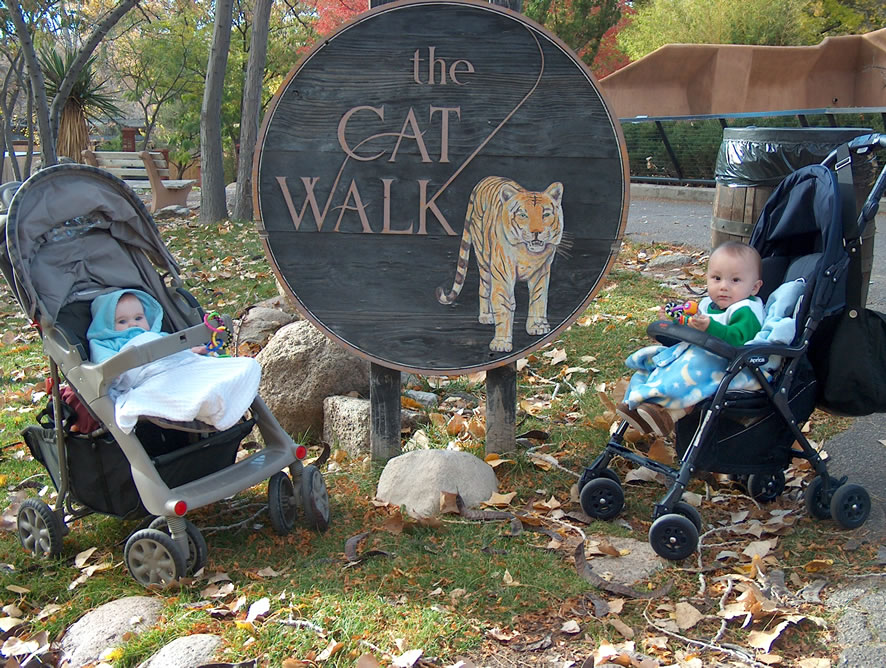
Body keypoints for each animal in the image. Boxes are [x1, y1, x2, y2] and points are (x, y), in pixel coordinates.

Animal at [438, 177, 568, 354]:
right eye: (523, 215)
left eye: (546, 214)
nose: (536, 232)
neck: (529, 253)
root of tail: (485, 180)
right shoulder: (503, 274)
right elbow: (503, 305)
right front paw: (501, 343)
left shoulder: (541, 272)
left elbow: (539, 298)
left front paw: (537, 326)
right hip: (484, 260)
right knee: (484, 288)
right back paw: (486, 316)